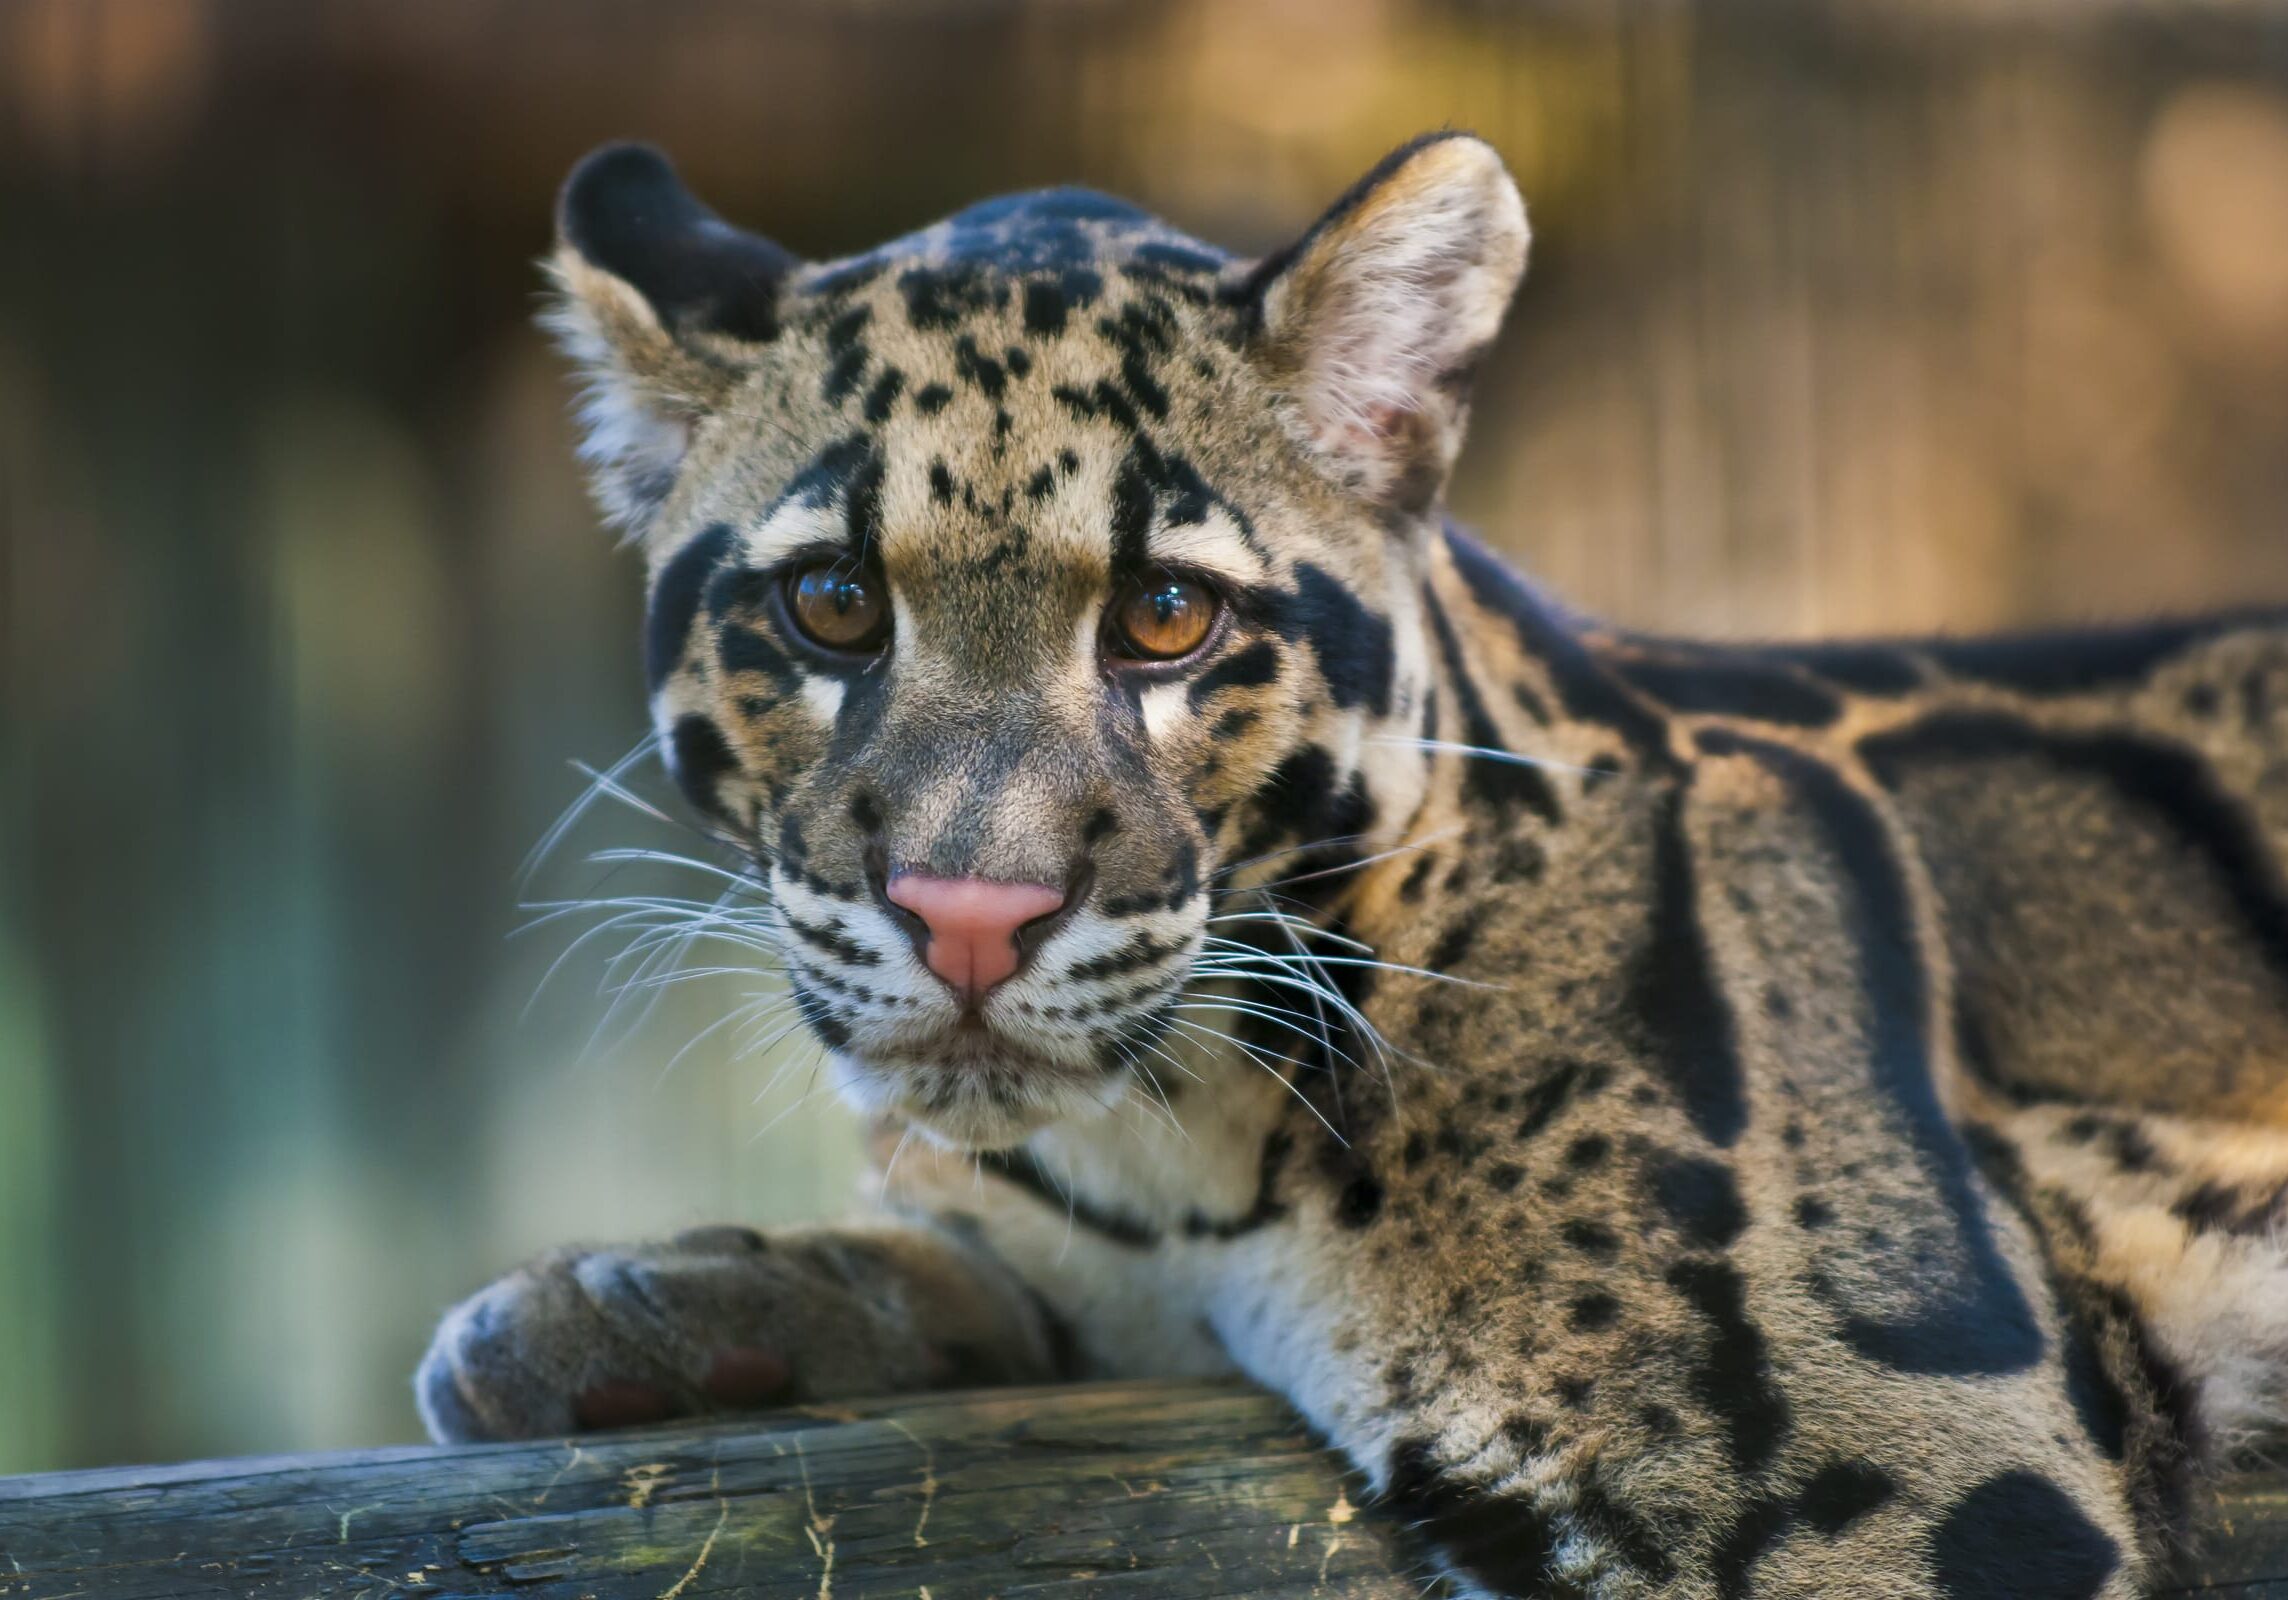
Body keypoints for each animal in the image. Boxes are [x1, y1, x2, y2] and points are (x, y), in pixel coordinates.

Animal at [416, 133, 2288, 1598]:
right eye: (830, 603)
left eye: (1168, 616)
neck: (1176, 1154)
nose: (970, 915)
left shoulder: (1858, 1475)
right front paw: (647, 1299)